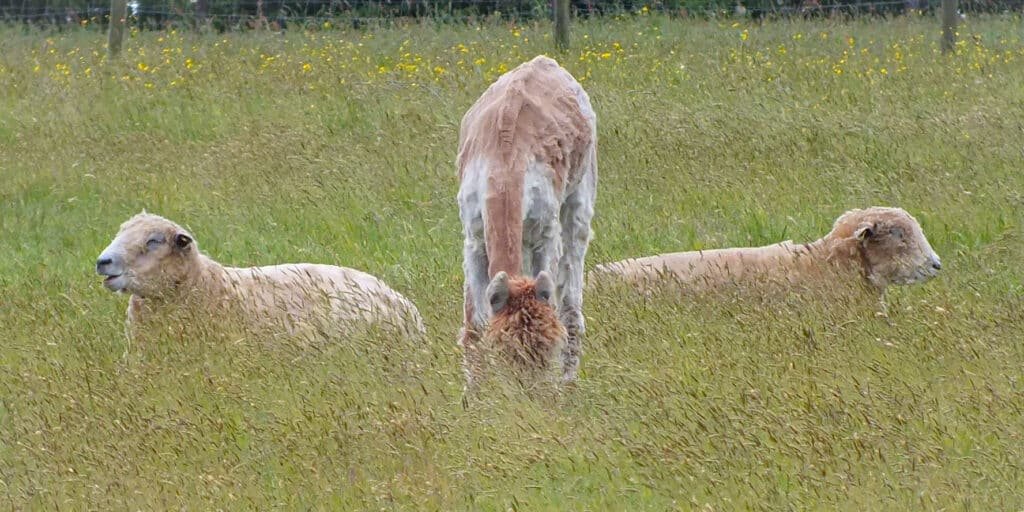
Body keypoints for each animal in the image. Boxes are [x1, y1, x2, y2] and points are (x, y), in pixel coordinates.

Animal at [457, 55, 598, 386]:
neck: (505, 157)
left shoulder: (545, 235)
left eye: (549, 348)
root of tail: (546, 61)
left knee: (572, 305)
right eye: (504, 350)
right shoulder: (473, 238)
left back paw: (569, 385)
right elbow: (474, 326)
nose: (528, 392)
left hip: (579, 199)